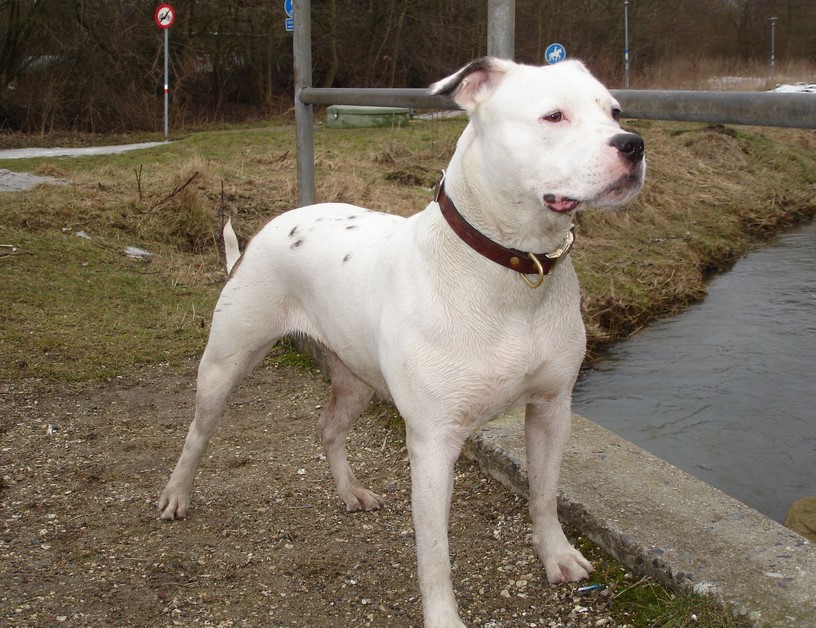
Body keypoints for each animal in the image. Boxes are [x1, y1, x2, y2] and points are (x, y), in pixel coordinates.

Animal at [159, 56, 644, 624]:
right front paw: (443, 616)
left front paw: (557, 556)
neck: (513, 270)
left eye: (614, 111)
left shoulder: (551, 409)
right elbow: (434, 551)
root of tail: (275, 223)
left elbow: (544, 494)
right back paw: (176, 496)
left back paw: (350, 492)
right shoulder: (433, 443)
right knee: (197, 433)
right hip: (224, 363)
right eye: (553, 116)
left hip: (356, 379)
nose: (633, 144)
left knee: (329, 428)